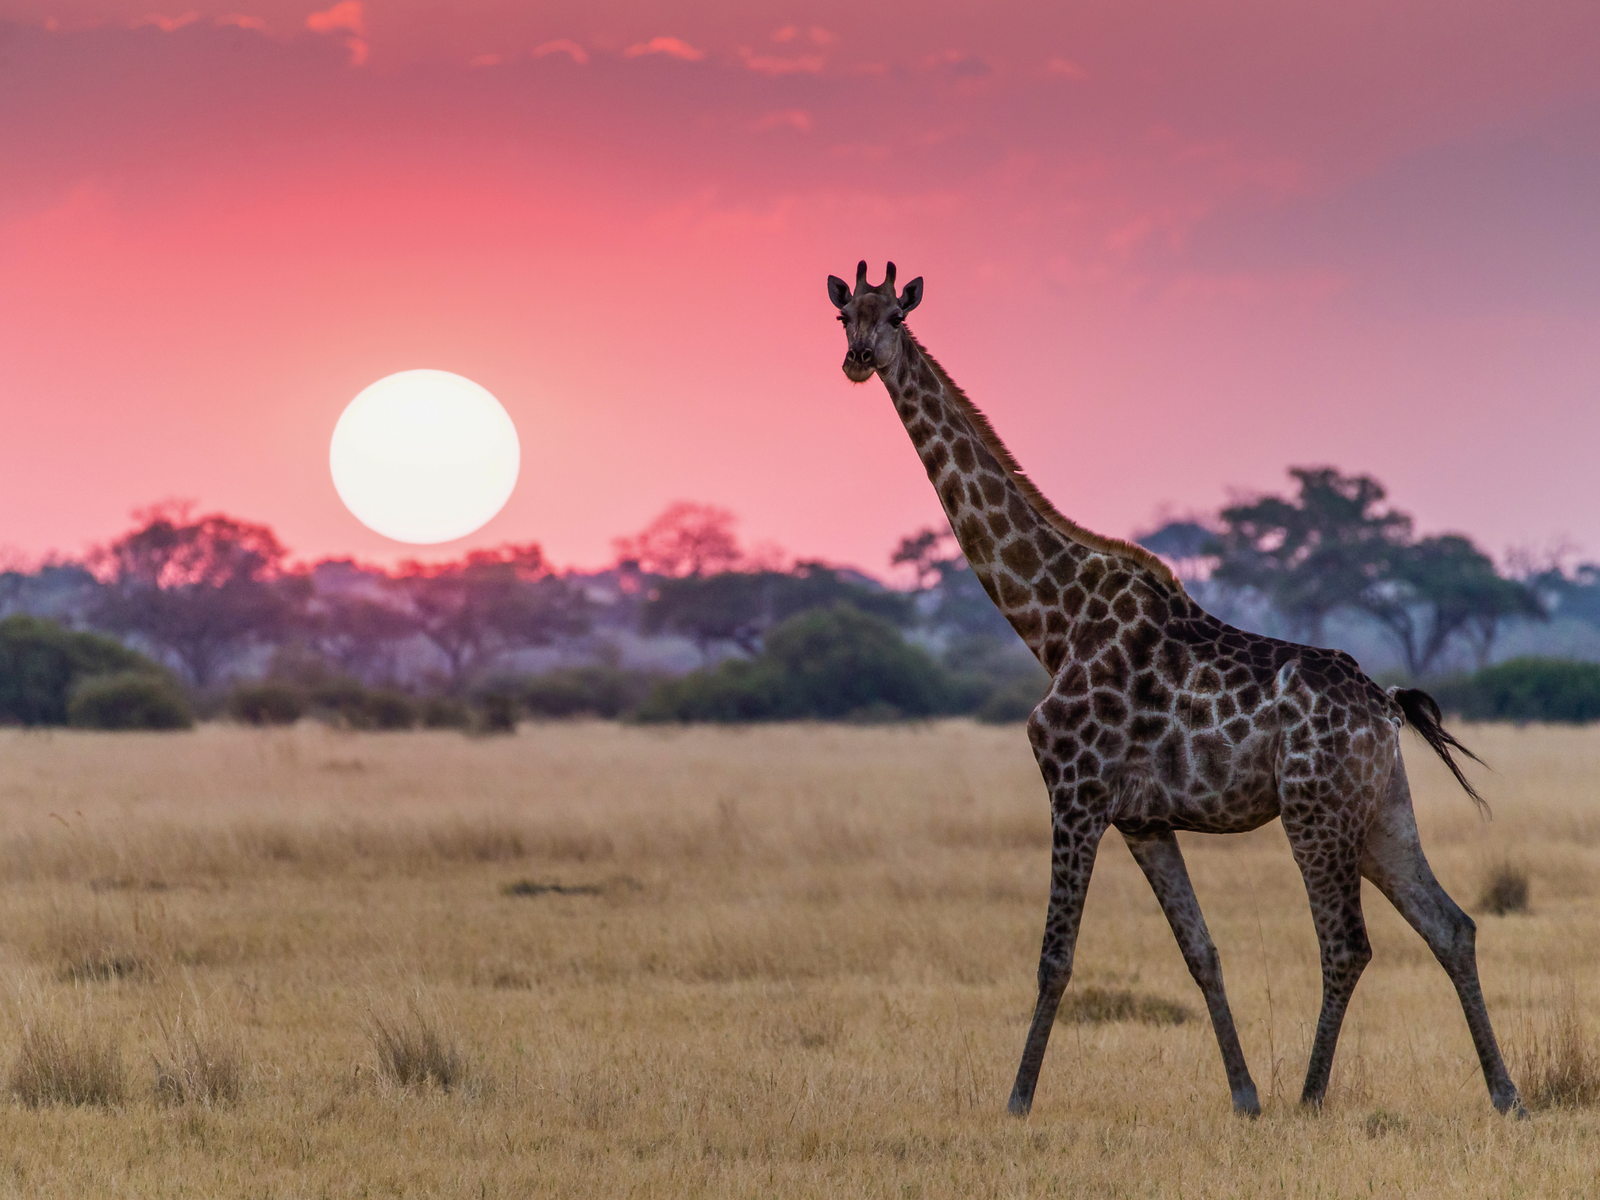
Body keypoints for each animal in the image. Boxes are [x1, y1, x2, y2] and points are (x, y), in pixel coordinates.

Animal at [827, 261, 1525, 1119]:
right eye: (843, 316)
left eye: (894, 315)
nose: (859, 360)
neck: (1052, 620)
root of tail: (1387, 707)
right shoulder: (1145, 820)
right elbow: (1202, 952)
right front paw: (1244, 1096)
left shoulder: (1077, 792)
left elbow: (1055, 958)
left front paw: (1018, 1100)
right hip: (1381, 810)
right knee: (1451, 925)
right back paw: (1504, 1094)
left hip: (1315, 810)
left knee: (1347, 946)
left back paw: (1312, 1097)